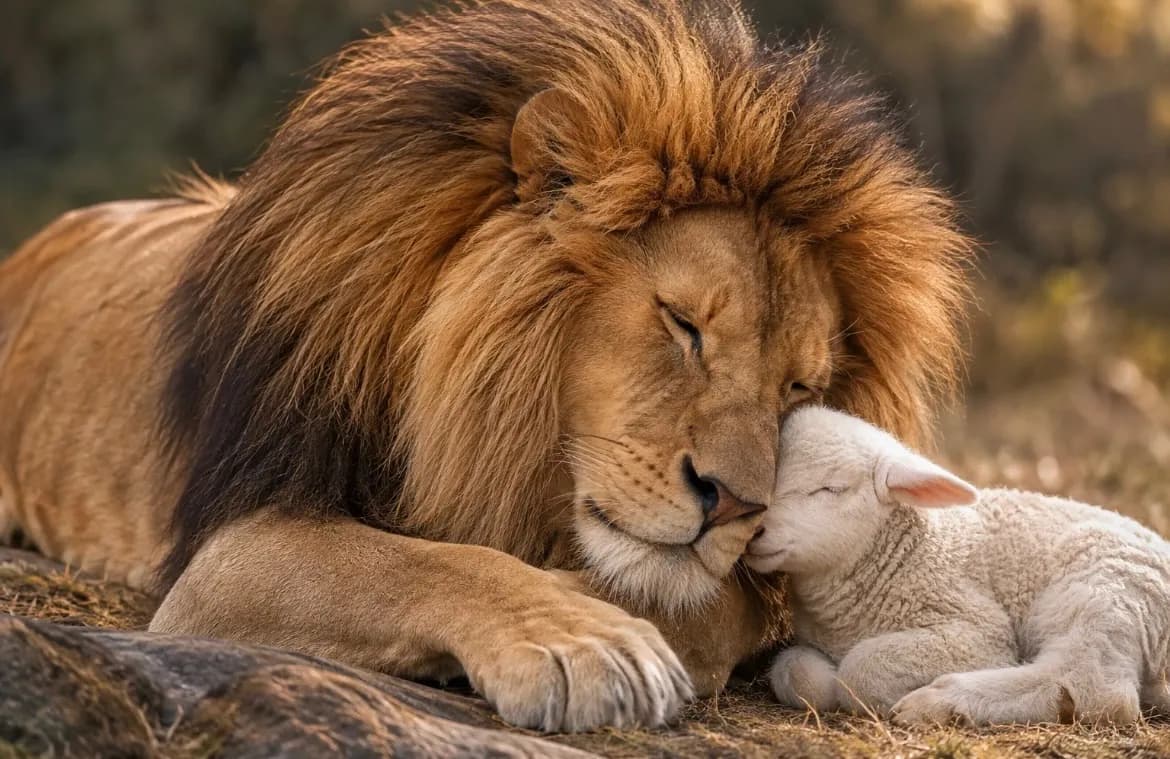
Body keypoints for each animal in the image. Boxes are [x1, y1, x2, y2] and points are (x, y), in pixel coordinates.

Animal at [0, 0, 970, 732]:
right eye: (683, 323)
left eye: (799, 387)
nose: (735, 503)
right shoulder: (229, 543)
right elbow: (422, 563)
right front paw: (588, 642)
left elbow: (703, 598)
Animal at [746, 405, 1170, 726]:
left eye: (832, 489)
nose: (755, 530)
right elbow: (792, 671)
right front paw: (821, 679)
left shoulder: (977, 631)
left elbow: (859, 670)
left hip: (1108, 587)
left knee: (1094, 686)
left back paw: (939, 703)